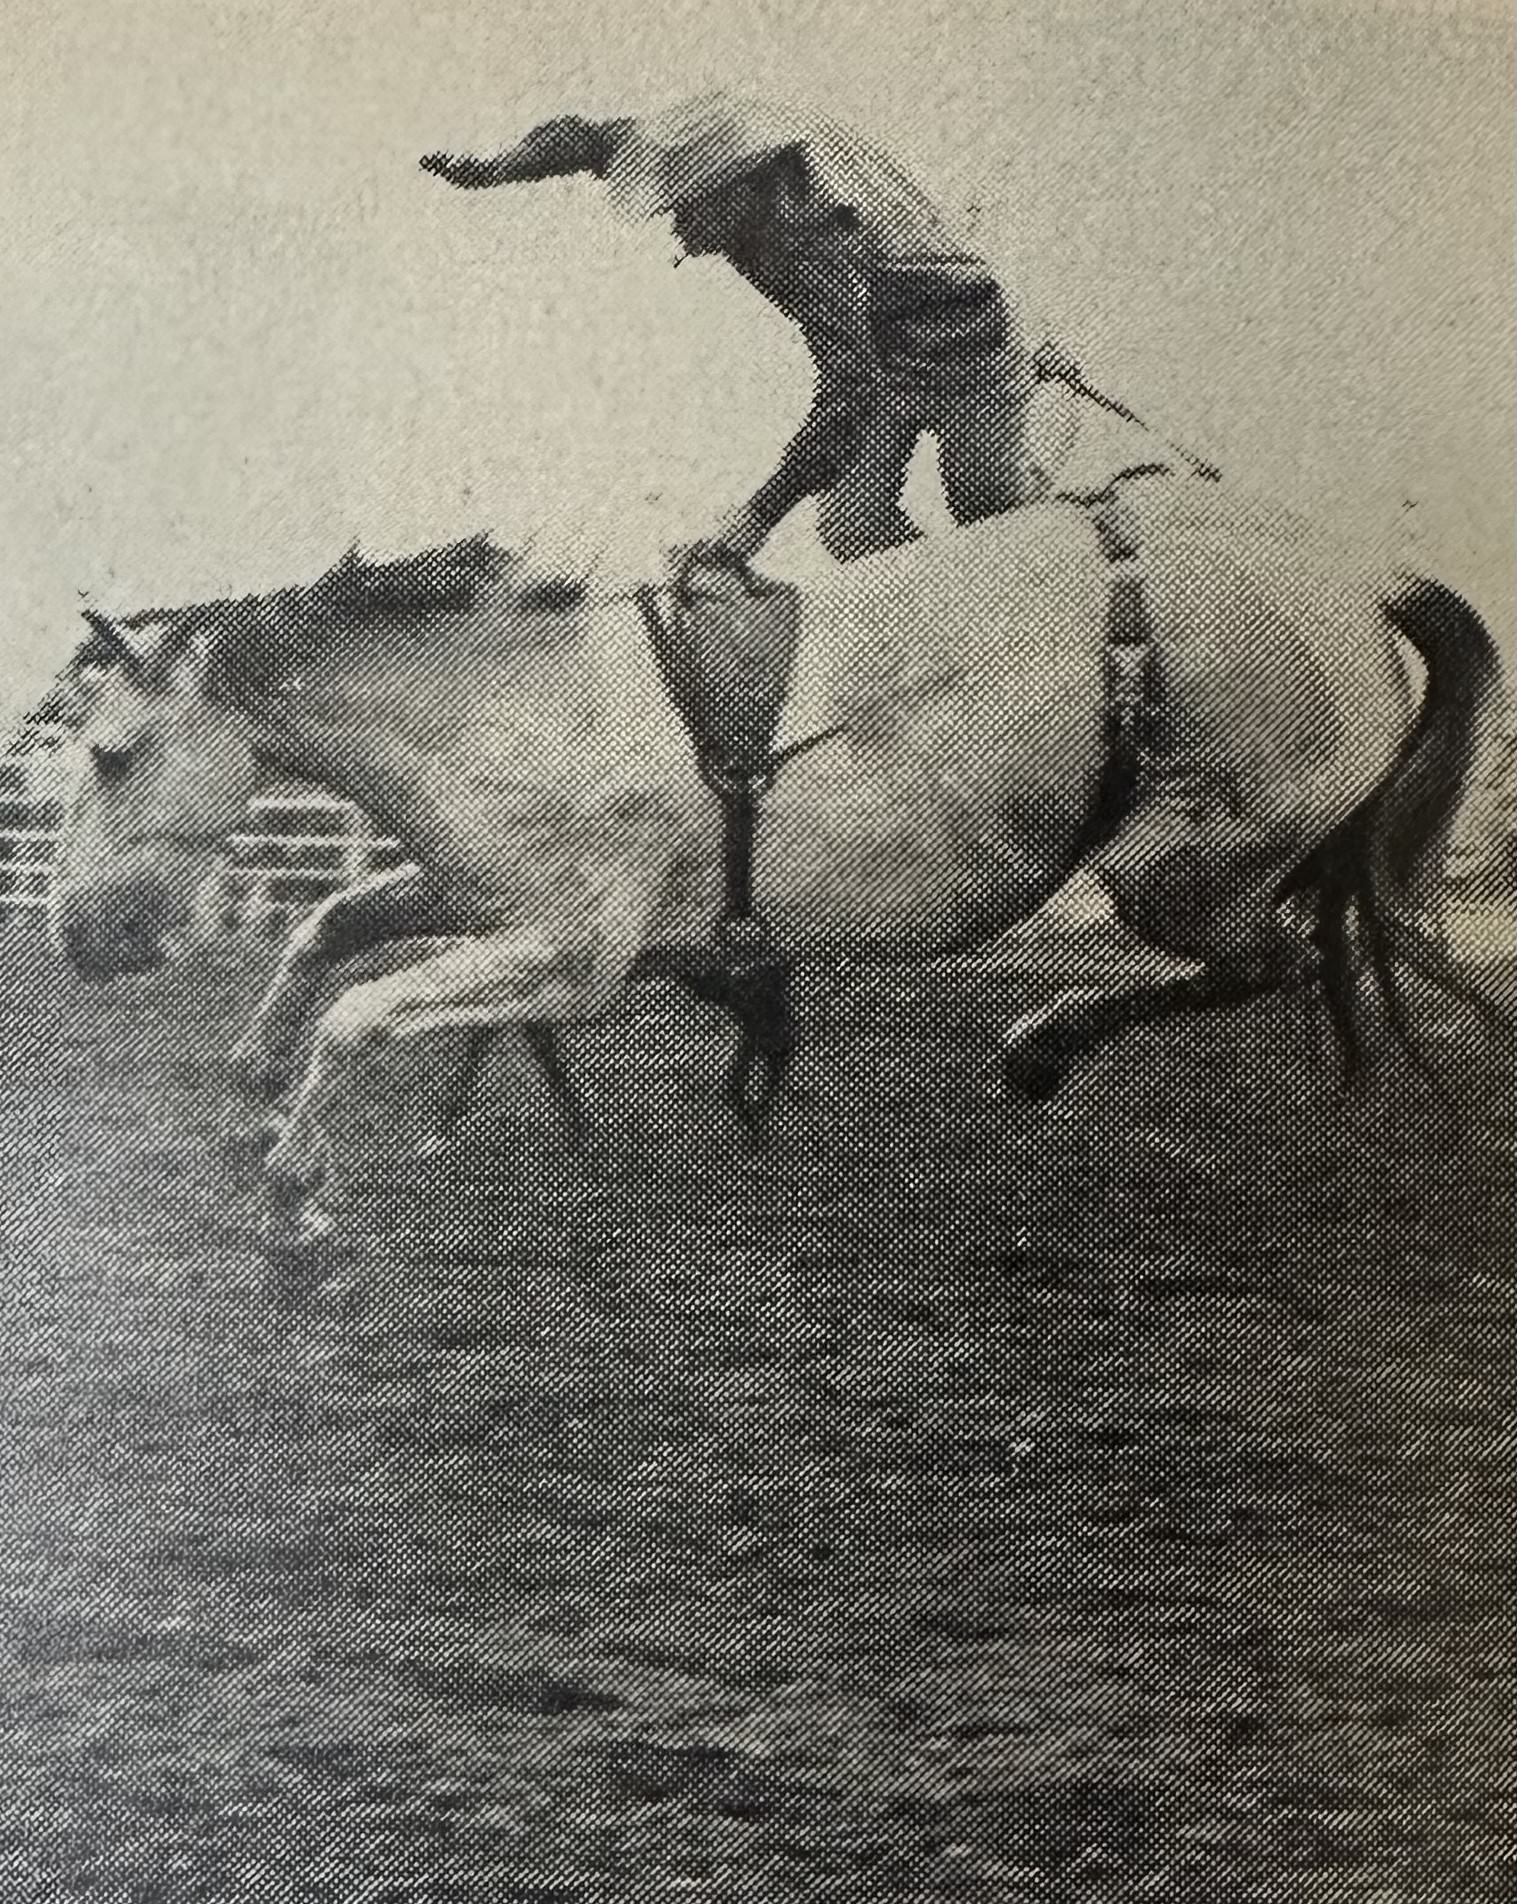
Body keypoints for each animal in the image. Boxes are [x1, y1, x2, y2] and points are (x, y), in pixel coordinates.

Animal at [47, 466, 1505, 1238]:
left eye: (108, 752)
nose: (75, 935)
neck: (522, 698)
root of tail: (1351, 584)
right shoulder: (485, 900)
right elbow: (331, 926)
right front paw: (254, 1081)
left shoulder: (574, 949)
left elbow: (364, 1007)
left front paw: (298, 1182)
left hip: (1179, 863)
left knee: (1274, 956)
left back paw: (1043, 1040)